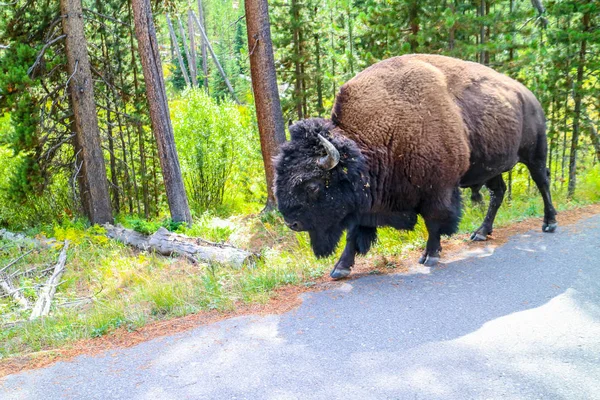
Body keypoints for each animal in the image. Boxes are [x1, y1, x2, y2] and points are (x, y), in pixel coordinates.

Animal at [274, 53, 556, 280]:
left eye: (313, 185)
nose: (292, 223)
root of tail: (529, 96)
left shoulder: (438, 190)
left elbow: (434, 221)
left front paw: (430, 256)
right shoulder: (365, 204)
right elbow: (354, 234)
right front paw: (340, 268)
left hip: (535, 154)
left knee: (542, 182)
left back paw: (549, 223)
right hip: (489, 168)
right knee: (498, 192)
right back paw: (481, 232)